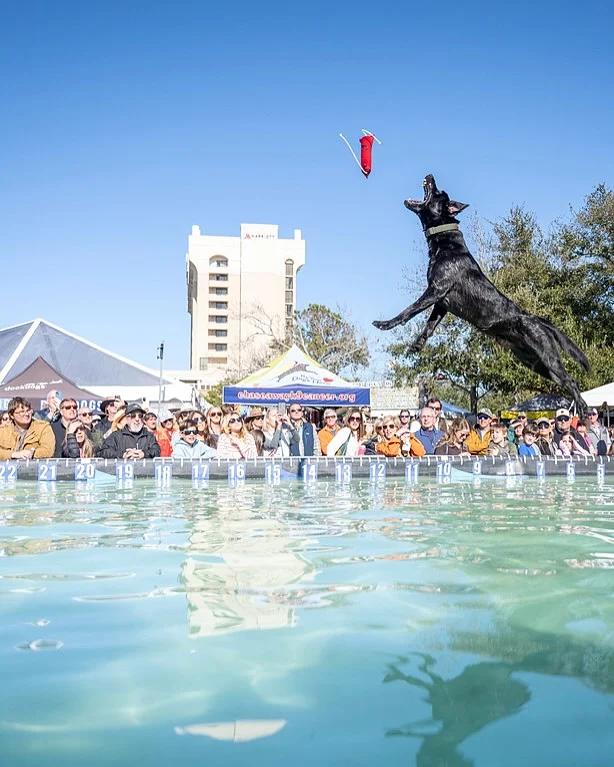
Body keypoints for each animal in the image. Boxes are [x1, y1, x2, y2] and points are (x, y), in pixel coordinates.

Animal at [376, 176, 592, 414]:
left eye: (438, 191)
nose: (430, 176)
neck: (444, 242)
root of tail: (538, 320)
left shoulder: (435, 290)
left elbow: (409, 311)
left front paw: (385, 324)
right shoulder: (442, 303)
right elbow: (429, 325)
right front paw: (417, 344)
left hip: (548, 357)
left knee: (571, 381)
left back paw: (583, 408)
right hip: (536, 364)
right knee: (567, 381)